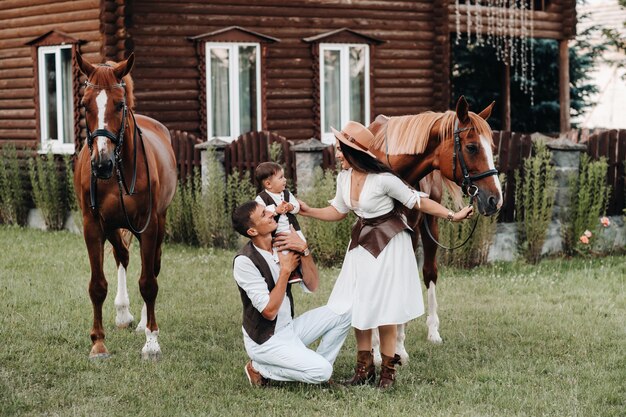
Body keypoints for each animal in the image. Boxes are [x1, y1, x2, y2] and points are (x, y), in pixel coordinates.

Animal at [73, 51, 176, 358]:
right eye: (84, 104)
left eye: (119, 105)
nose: (101, 164)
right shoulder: (93, 225)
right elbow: (97, 285)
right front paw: (98, 343)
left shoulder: (149, 226)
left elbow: (148, 283)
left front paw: (152, 342)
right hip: (112, 226)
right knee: (123, 256)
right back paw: (122, 314)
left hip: (159, 223)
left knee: (151, 267)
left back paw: (142, 322)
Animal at [368, 96, 500, 362]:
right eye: (472, 147)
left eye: (491, 146)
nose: (495, 199)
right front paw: (375, 349)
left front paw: (398, 348)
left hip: (429, 226)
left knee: (429, 273)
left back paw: (431, 331)